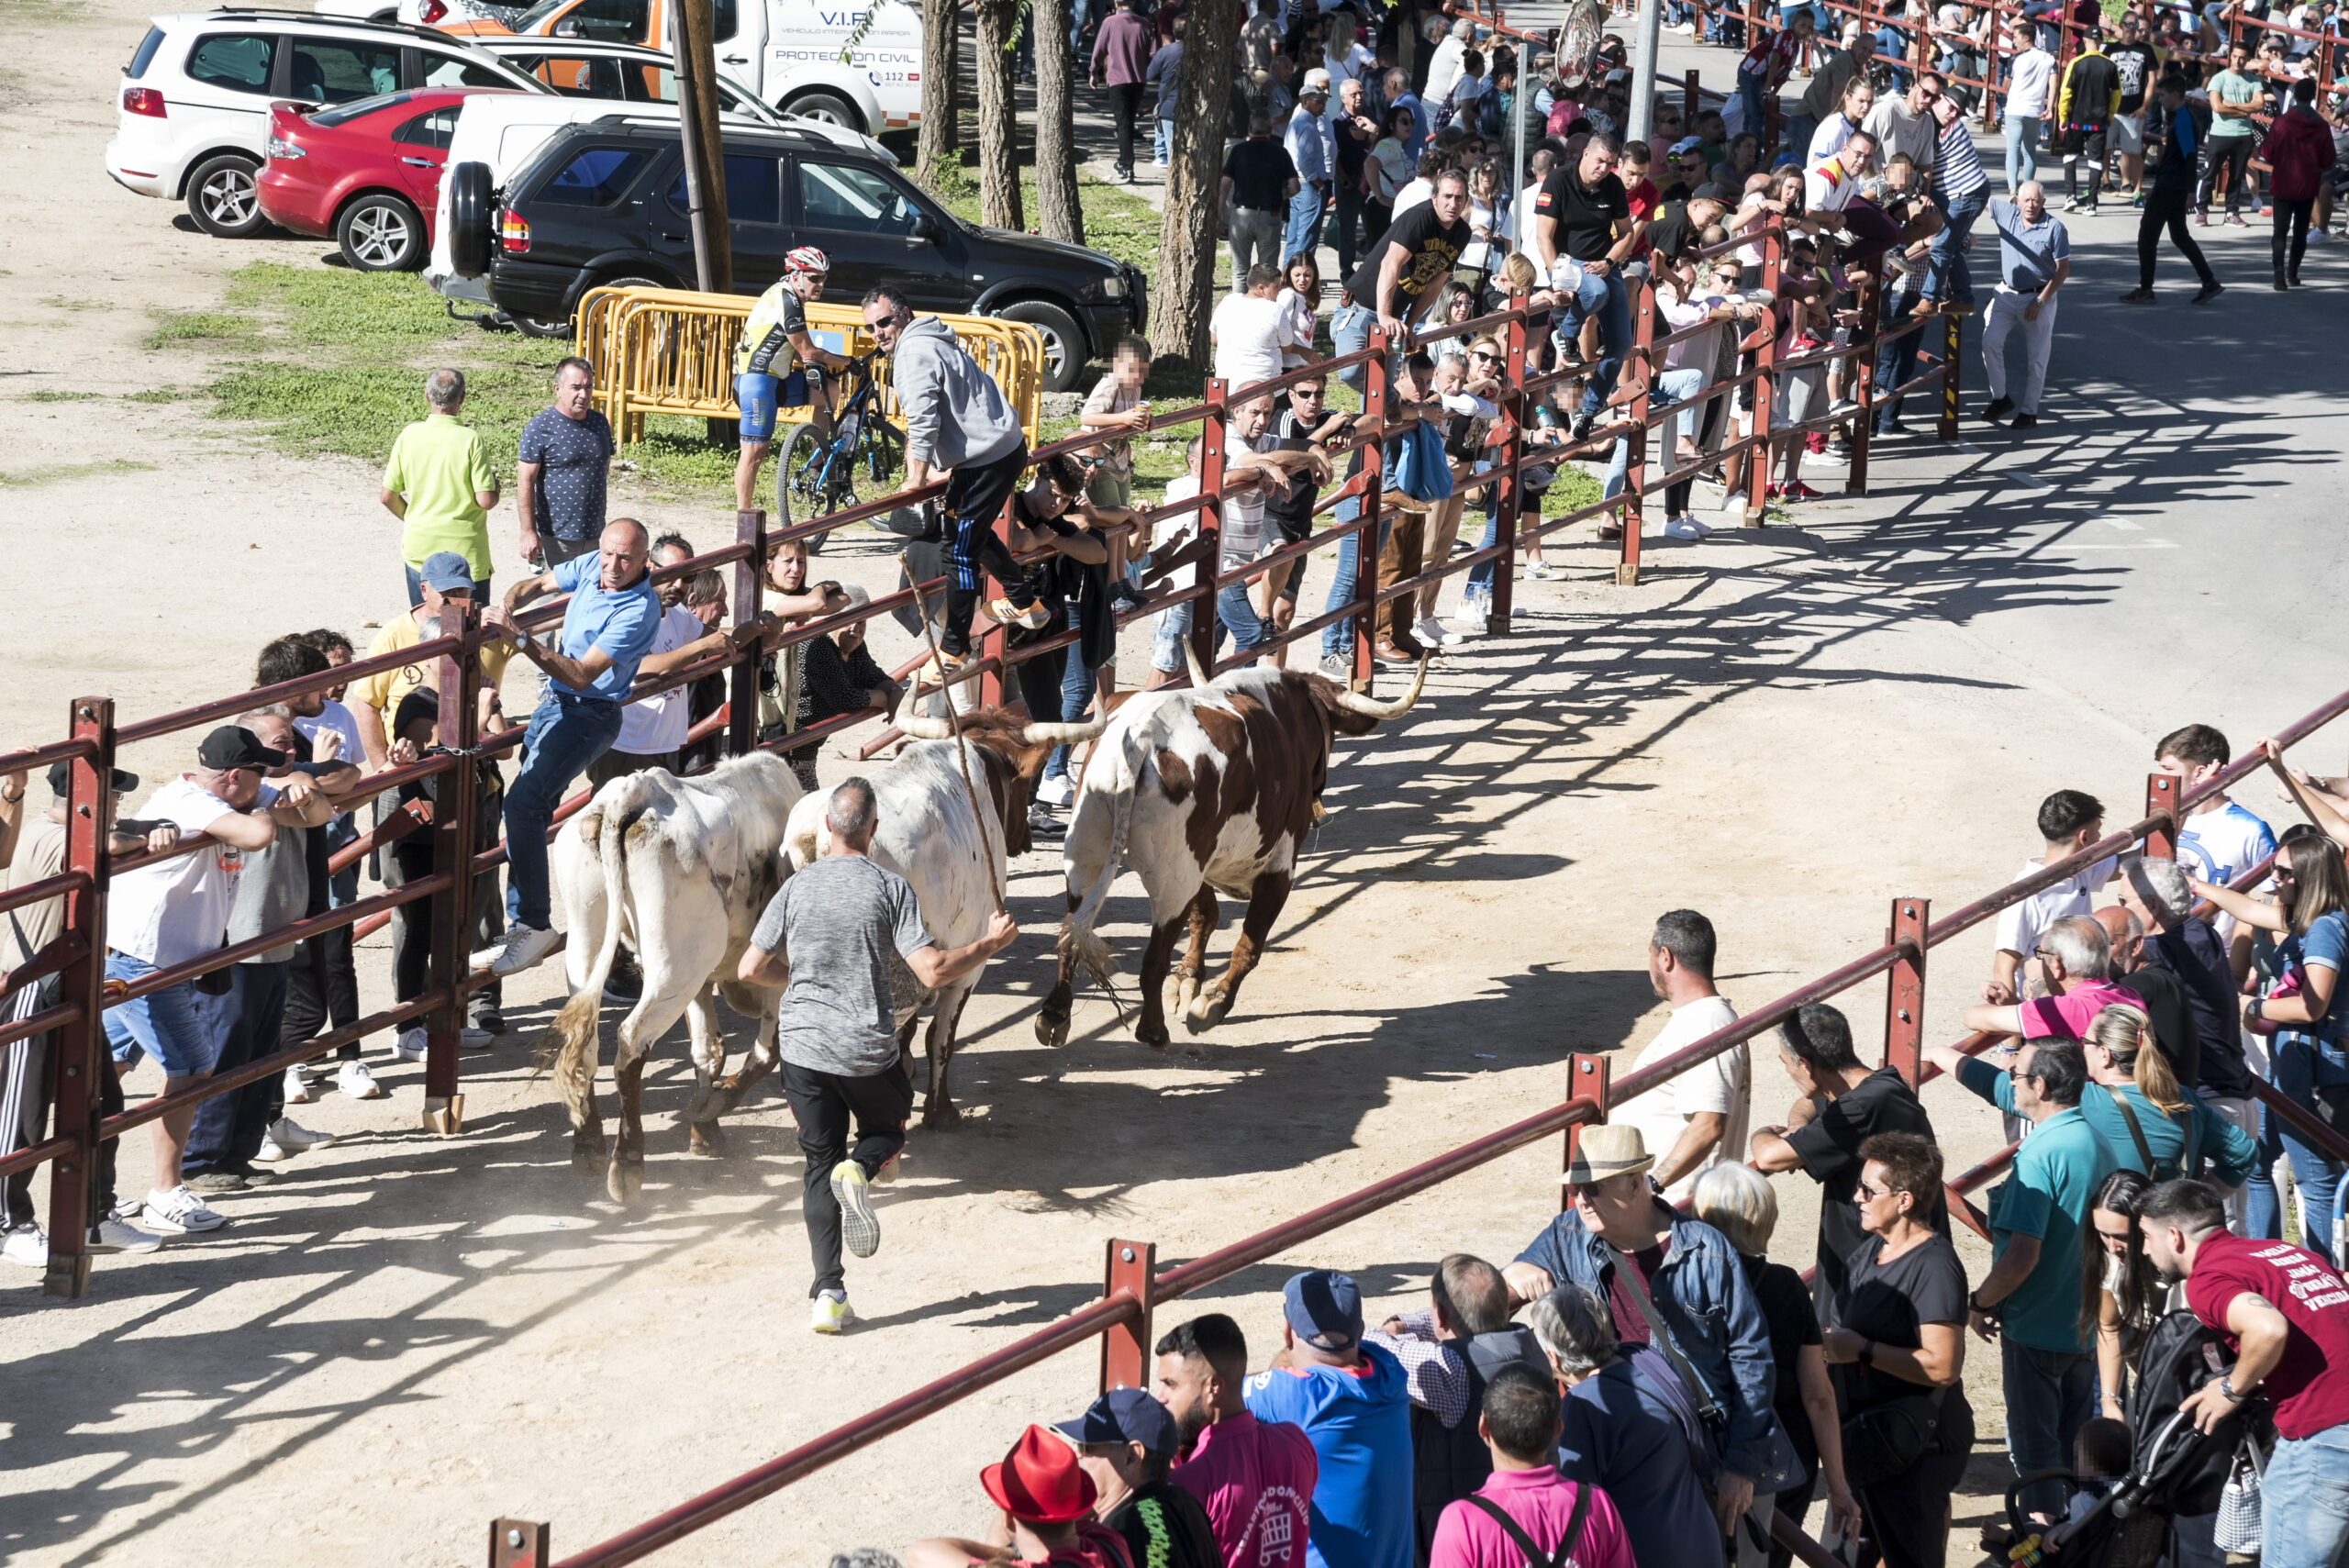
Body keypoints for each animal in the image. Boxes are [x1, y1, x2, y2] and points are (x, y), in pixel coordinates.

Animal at [544, 746, 803, 1201]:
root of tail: (636, 790)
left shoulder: (703, 983)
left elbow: (708, 1050)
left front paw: (705, 1130)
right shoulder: (770, 970)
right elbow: (766, 1052)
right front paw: (713, 1108)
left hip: (590, 940)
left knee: (585, 1039)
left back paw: (589, 1144)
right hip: (676, 966)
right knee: (631, 1040)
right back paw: (627, 1163)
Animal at [785, 708, 1104, 1127]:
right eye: (1023, 786)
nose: (1025, 838)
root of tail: (819, 837)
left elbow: (913, 1033)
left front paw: (908, 1071)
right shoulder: (967, 964)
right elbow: (940, 1037)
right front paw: (941, 1111)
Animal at [1033, 642, 1419, 1047]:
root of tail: (1140, 738)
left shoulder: (1202, 861)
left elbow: (1205, 916)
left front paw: (1188, 981)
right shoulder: (1280, 866)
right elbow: (1250, 943)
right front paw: (1213, 1002)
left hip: (1086, 855)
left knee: (1069, 933)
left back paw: (1055, 1014)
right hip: (1172, 880)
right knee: (1153, 958)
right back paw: (1153, 1030)